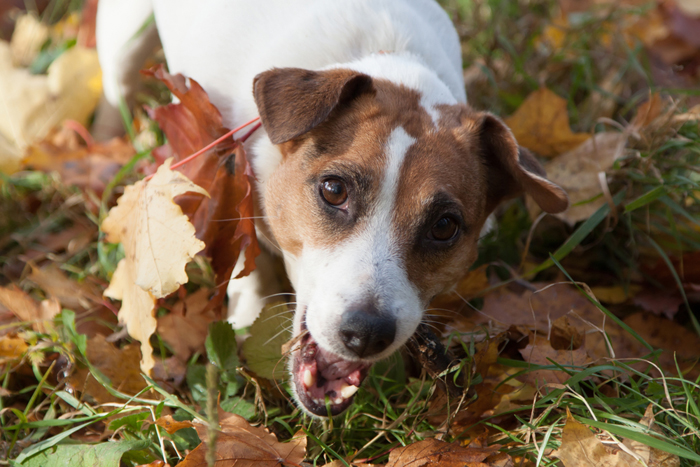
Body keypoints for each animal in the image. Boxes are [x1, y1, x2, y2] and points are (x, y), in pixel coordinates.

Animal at [94, 0, 568, 416]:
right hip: (124, 33)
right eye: (334, 190)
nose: (366, 333)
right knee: (116, 85)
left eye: (445, 226)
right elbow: (245, 251)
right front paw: (247, 312)